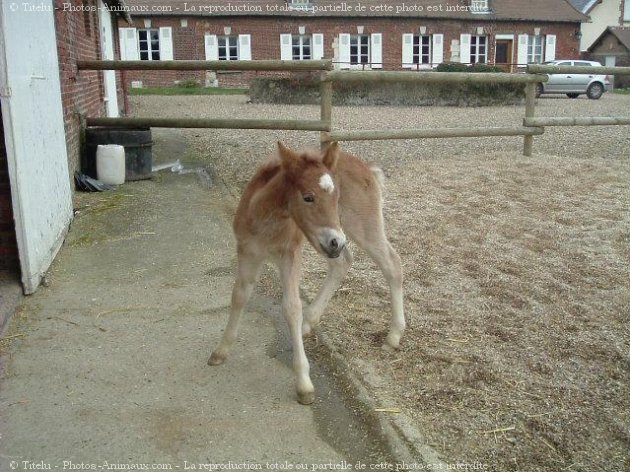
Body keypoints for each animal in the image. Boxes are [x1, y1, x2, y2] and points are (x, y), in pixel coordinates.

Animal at [207, 142, 404, 404]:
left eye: (337, 198)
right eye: (308, 197)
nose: (336, 242)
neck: (266, 220)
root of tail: (366, 167)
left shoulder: (290, 255)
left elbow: (291, 307)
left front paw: (303, 383)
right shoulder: (247, 252)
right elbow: (239, 295)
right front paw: (221, 350)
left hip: (359, 228)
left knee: (393, 264)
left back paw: (394, 335)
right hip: (326, 242)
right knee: (343, 263)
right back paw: (308, 322)